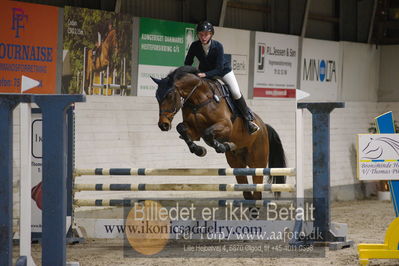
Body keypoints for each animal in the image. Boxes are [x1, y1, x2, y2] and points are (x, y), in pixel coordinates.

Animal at [153, 66, 288, 200]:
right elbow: (181, 128)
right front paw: (199, 150)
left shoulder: (226, 126)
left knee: (257, 190)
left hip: (257, 162)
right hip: (236, 164)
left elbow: (208, 134)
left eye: (169, 95)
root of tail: (264, 126)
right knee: (247, 191)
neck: (199, 99)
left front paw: (222, 146)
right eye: (157, 97)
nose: (163, 125)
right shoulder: (195, 131)